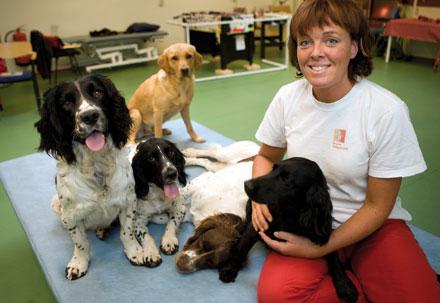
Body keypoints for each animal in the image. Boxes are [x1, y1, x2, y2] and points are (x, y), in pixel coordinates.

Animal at [34, 74, 148, 280]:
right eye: (66, 102)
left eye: (97, 92)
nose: (89, 116)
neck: (96, 167)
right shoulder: (71, 216)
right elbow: (80, 243)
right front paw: (78, 263)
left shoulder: (128, 203)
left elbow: (126, 233)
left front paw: (135, 252)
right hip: (56, 205)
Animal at [130, 138, 186, 268]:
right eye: (151, 158)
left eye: (171, 152)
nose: (172, 173)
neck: (158, 193)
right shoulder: (137, 221)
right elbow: (146, 236)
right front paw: (151, 253)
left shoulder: (180, 207)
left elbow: (172, 222)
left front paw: (169, 241)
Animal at [218, 159, 360, 303]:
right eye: (273, 169)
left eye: (286, 179)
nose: (247, 185)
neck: (289, 212)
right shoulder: (257, 225)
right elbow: (242, 247)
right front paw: (229, 268)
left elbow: (333, 255)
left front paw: (344, 284)